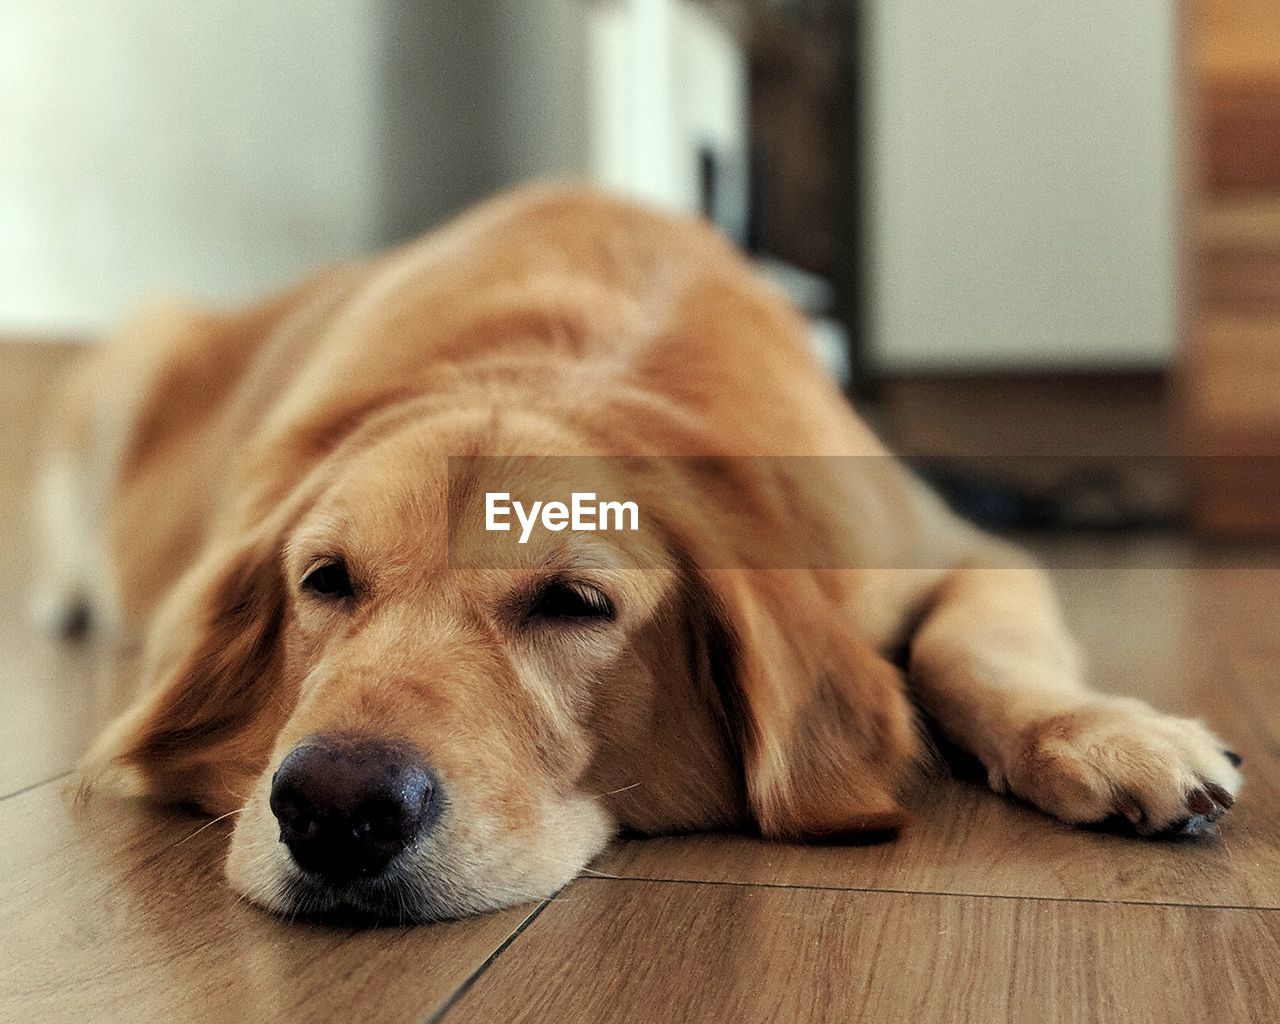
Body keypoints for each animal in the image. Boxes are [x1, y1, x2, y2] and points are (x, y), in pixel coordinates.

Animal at [37, 188, 1239, 921]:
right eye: (323, 581)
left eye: (576, 602)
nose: (333, 808)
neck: (572, 369)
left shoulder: (960, 546)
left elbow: (969, 646)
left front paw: (1109, 733)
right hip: (131, 357)